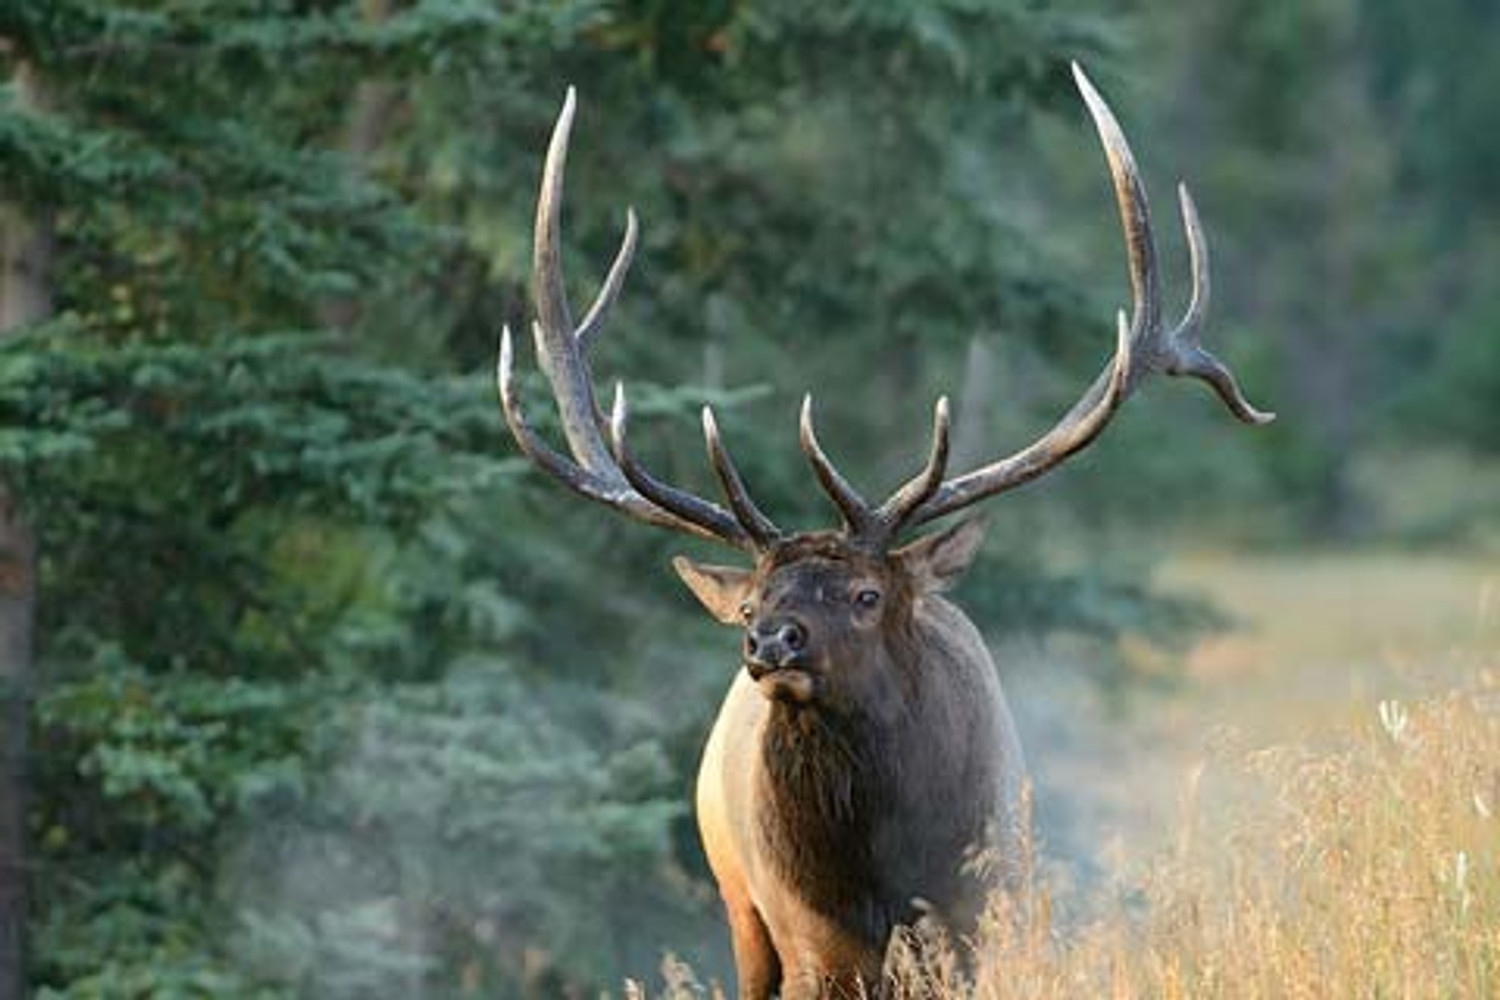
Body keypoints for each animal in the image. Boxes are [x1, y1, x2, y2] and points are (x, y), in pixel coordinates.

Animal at [498, 64, 1272, 1000]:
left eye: (867, 594)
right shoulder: (811, 946)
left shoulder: (977, 921)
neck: (884, 876)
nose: (770, 640)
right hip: (738, 902)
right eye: (752, 598)